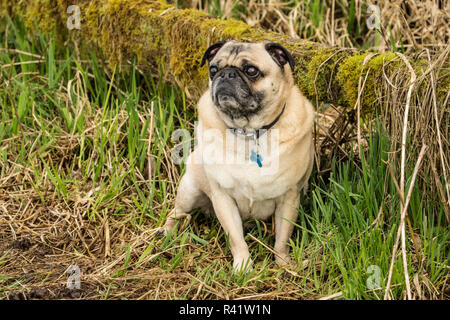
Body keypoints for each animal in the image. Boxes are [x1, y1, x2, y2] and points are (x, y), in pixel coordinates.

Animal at [160, 38, 314, 272]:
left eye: (251, 71)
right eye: (213, 70)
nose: (226, 74)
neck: (249, 132)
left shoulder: (289, 197)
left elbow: (282, 237)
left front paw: (282, 264)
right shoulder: (223, 198)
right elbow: (236, 238)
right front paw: (243, 267)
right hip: (189, 190)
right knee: (176, 212)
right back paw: (167, 233)